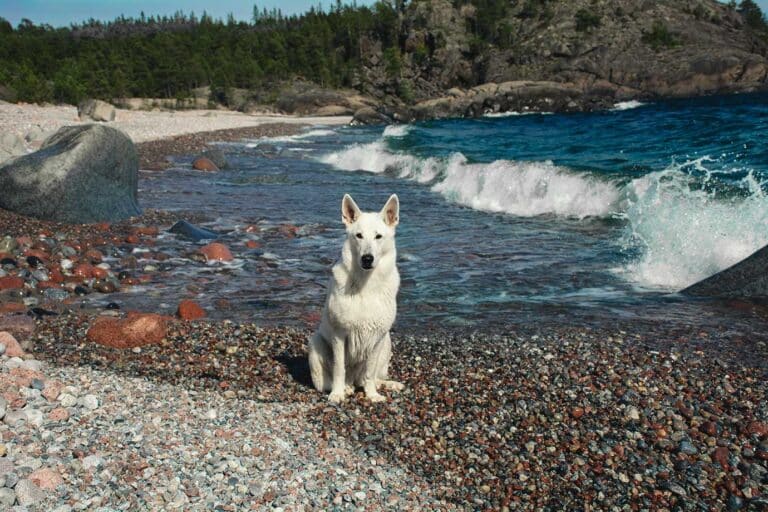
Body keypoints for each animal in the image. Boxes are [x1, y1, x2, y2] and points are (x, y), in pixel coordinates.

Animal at [308, 194, 404, 402]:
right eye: (359, 236)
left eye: (378, 236)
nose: (367, 258)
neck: (366, 285)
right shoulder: (339, 335)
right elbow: (338, 368)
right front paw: (337, 394)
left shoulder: (378, 337)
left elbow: (370, 372)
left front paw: (372, 395)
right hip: (316, 343)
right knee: (329, 381)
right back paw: (344, 388)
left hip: (387, 343)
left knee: (372, 377)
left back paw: (386, 384)